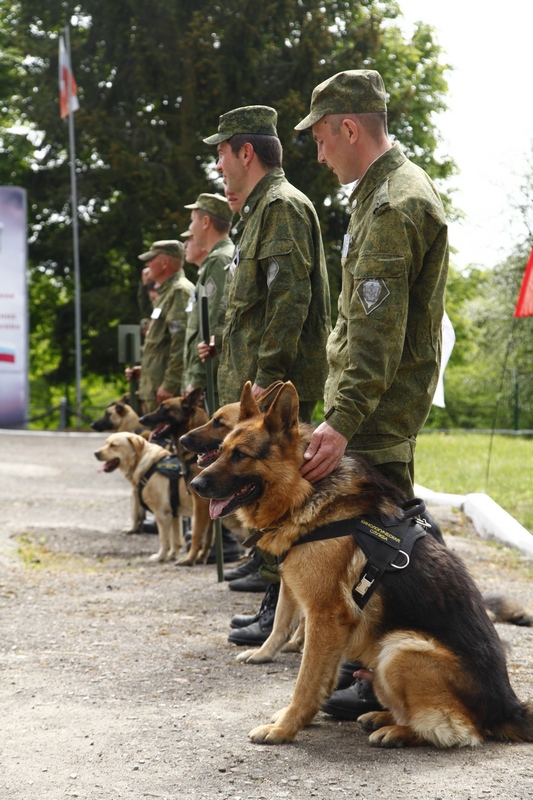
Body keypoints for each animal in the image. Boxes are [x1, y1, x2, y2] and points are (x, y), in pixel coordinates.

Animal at [191, 382, 532, 752]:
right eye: (222, 450)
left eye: (241, 455)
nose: (195, 485)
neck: (305, 490)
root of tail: (507, 708)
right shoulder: (316, 613)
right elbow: (318, 674)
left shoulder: (325, 616)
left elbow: (306, 679)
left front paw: (285, 728)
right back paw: (383, 716)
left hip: (399, 648)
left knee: (458, 730)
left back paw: (398, 731)